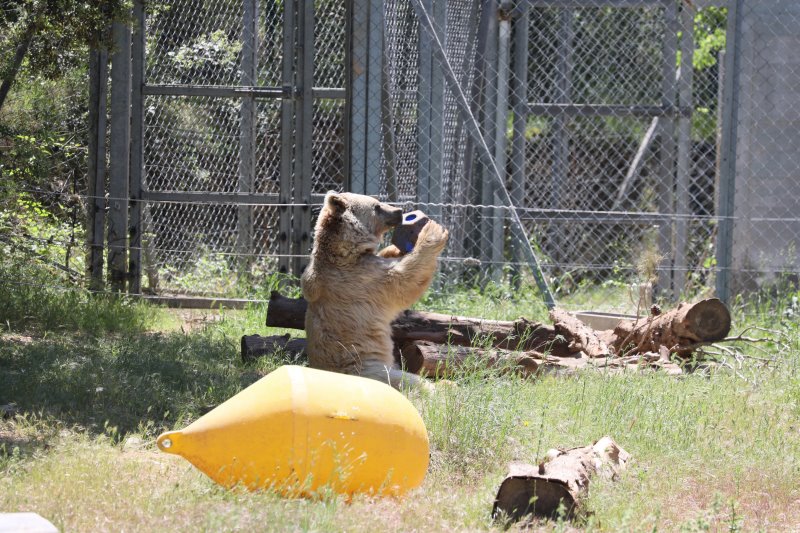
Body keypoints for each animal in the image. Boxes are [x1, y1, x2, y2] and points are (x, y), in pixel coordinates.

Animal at [302, 189, 450, 388]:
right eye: (377, 206)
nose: (399, 211)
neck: (344, 253)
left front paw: (395, 249)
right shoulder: (361, 279)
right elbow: (404, 281)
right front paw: (432, 230)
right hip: (372, 371)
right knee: (411, 381)